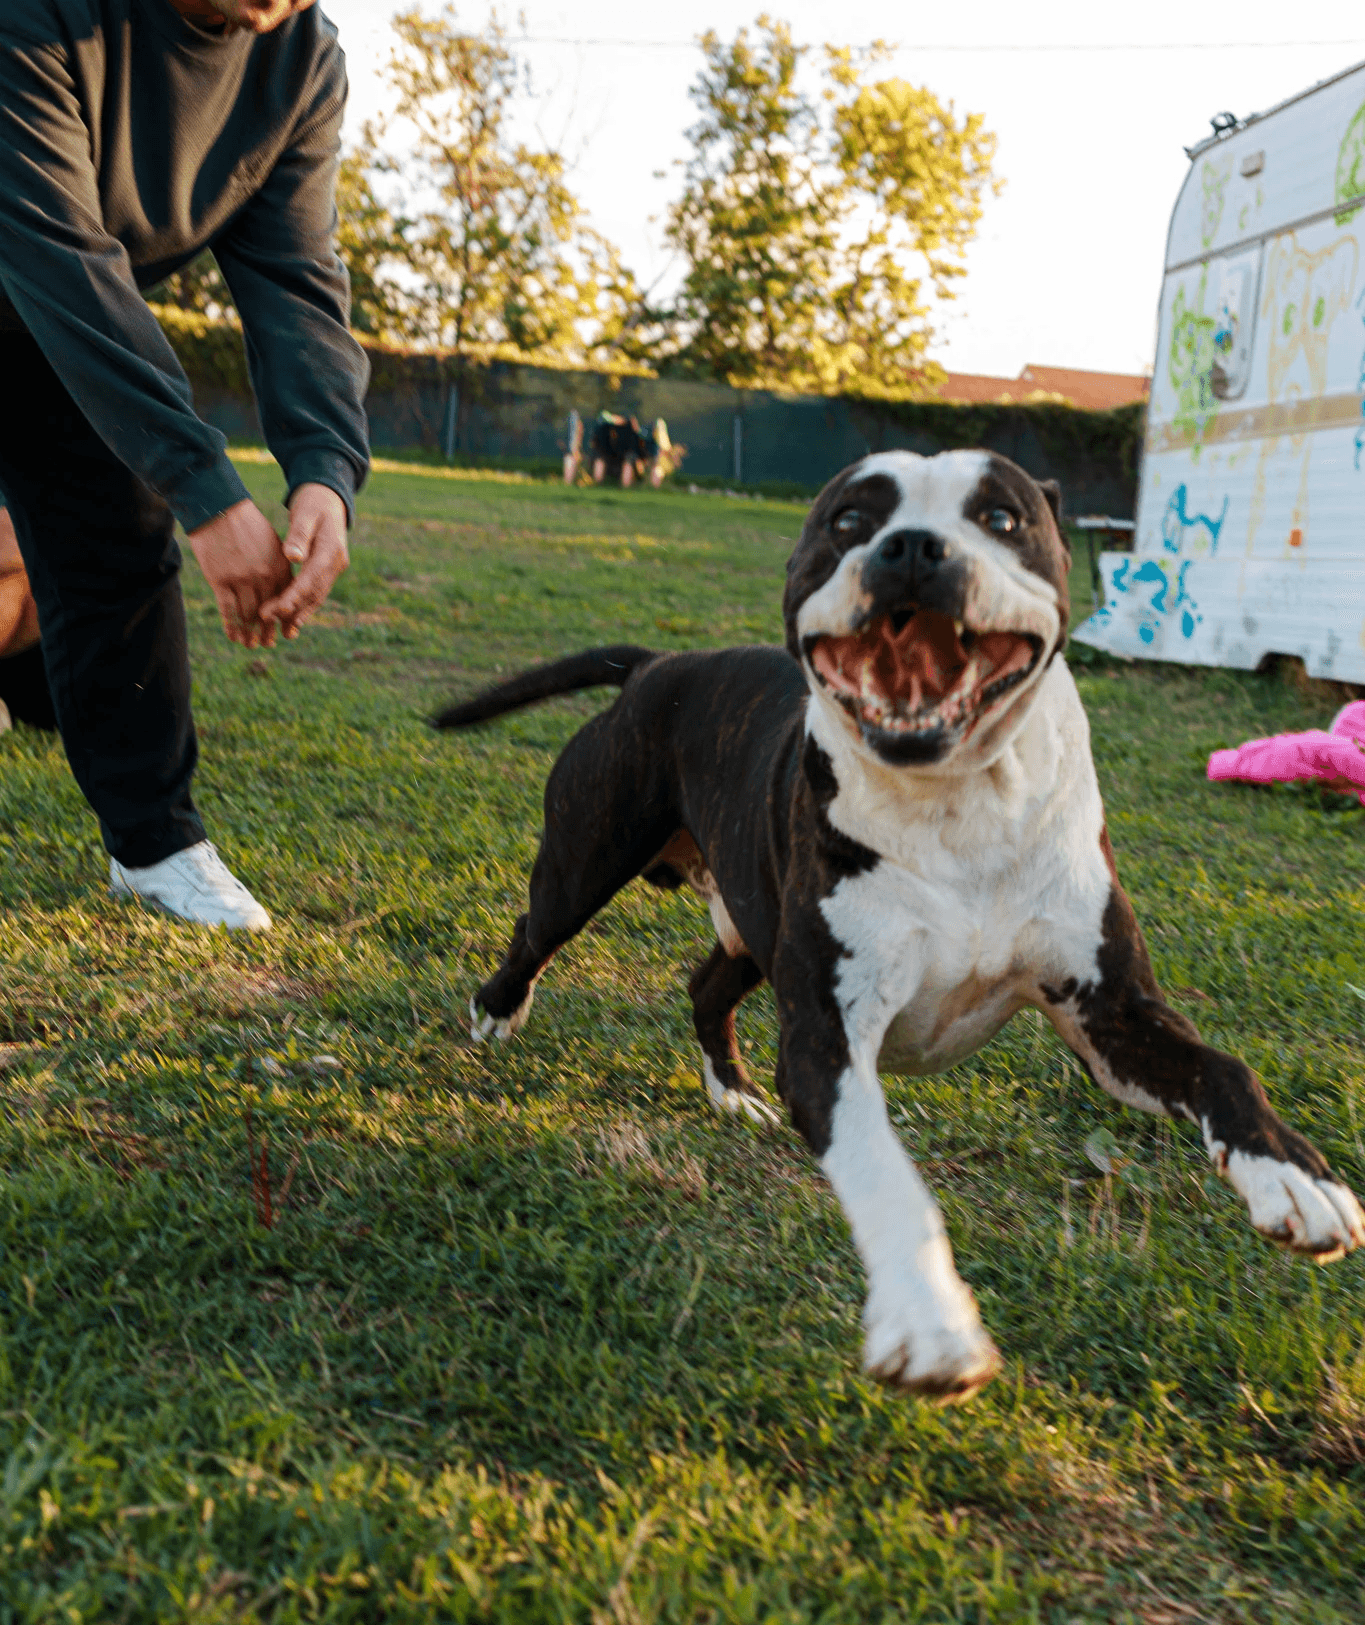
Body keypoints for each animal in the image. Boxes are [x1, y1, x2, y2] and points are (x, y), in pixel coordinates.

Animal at [438, 451, 1365, 1404]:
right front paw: (927, 1317)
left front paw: (1294, 1178)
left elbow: (1226, 1068)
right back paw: (497, 1012)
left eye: (1000, 517)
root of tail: (658, 662)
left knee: (706, 983)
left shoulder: (1113, 1016)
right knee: (533, 931)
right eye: (849, 519)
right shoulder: (827, 1039)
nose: (913, 547)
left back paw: (730, 1091)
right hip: (587, 858)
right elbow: (884, 1171)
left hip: (752, 915)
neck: (959, 803)